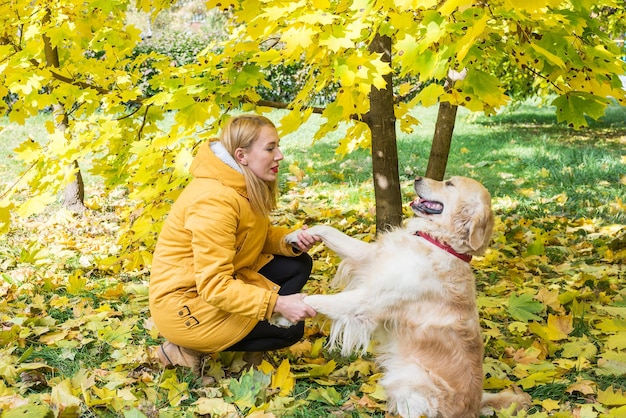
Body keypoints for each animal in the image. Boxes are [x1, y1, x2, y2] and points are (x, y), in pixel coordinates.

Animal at [280, 176, 528, 418]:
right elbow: (329, 230)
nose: (417, 178)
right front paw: (297, 234)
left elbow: (316, 299)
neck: (440, 243)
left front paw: (282, 314)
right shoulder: (370, 259)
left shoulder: (368, 300)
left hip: (411, 375)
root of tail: (474, 409)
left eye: (449, 183)